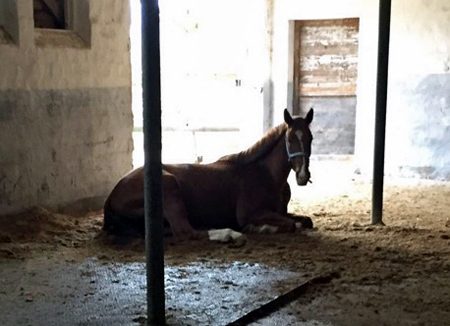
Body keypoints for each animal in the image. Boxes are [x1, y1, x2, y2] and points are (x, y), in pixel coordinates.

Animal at [103, 109, 312, 242]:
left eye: (310, 138)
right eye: (290, 139)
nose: (303, 175)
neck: (265, 175)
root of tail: (112, 194)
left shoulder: (280, 212)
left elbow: (305, 221)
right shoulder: (250, 214)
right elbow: (290, 224)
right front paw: (256, 228)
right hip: (169, 186)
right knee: (186, 232)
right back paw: (230, 235)